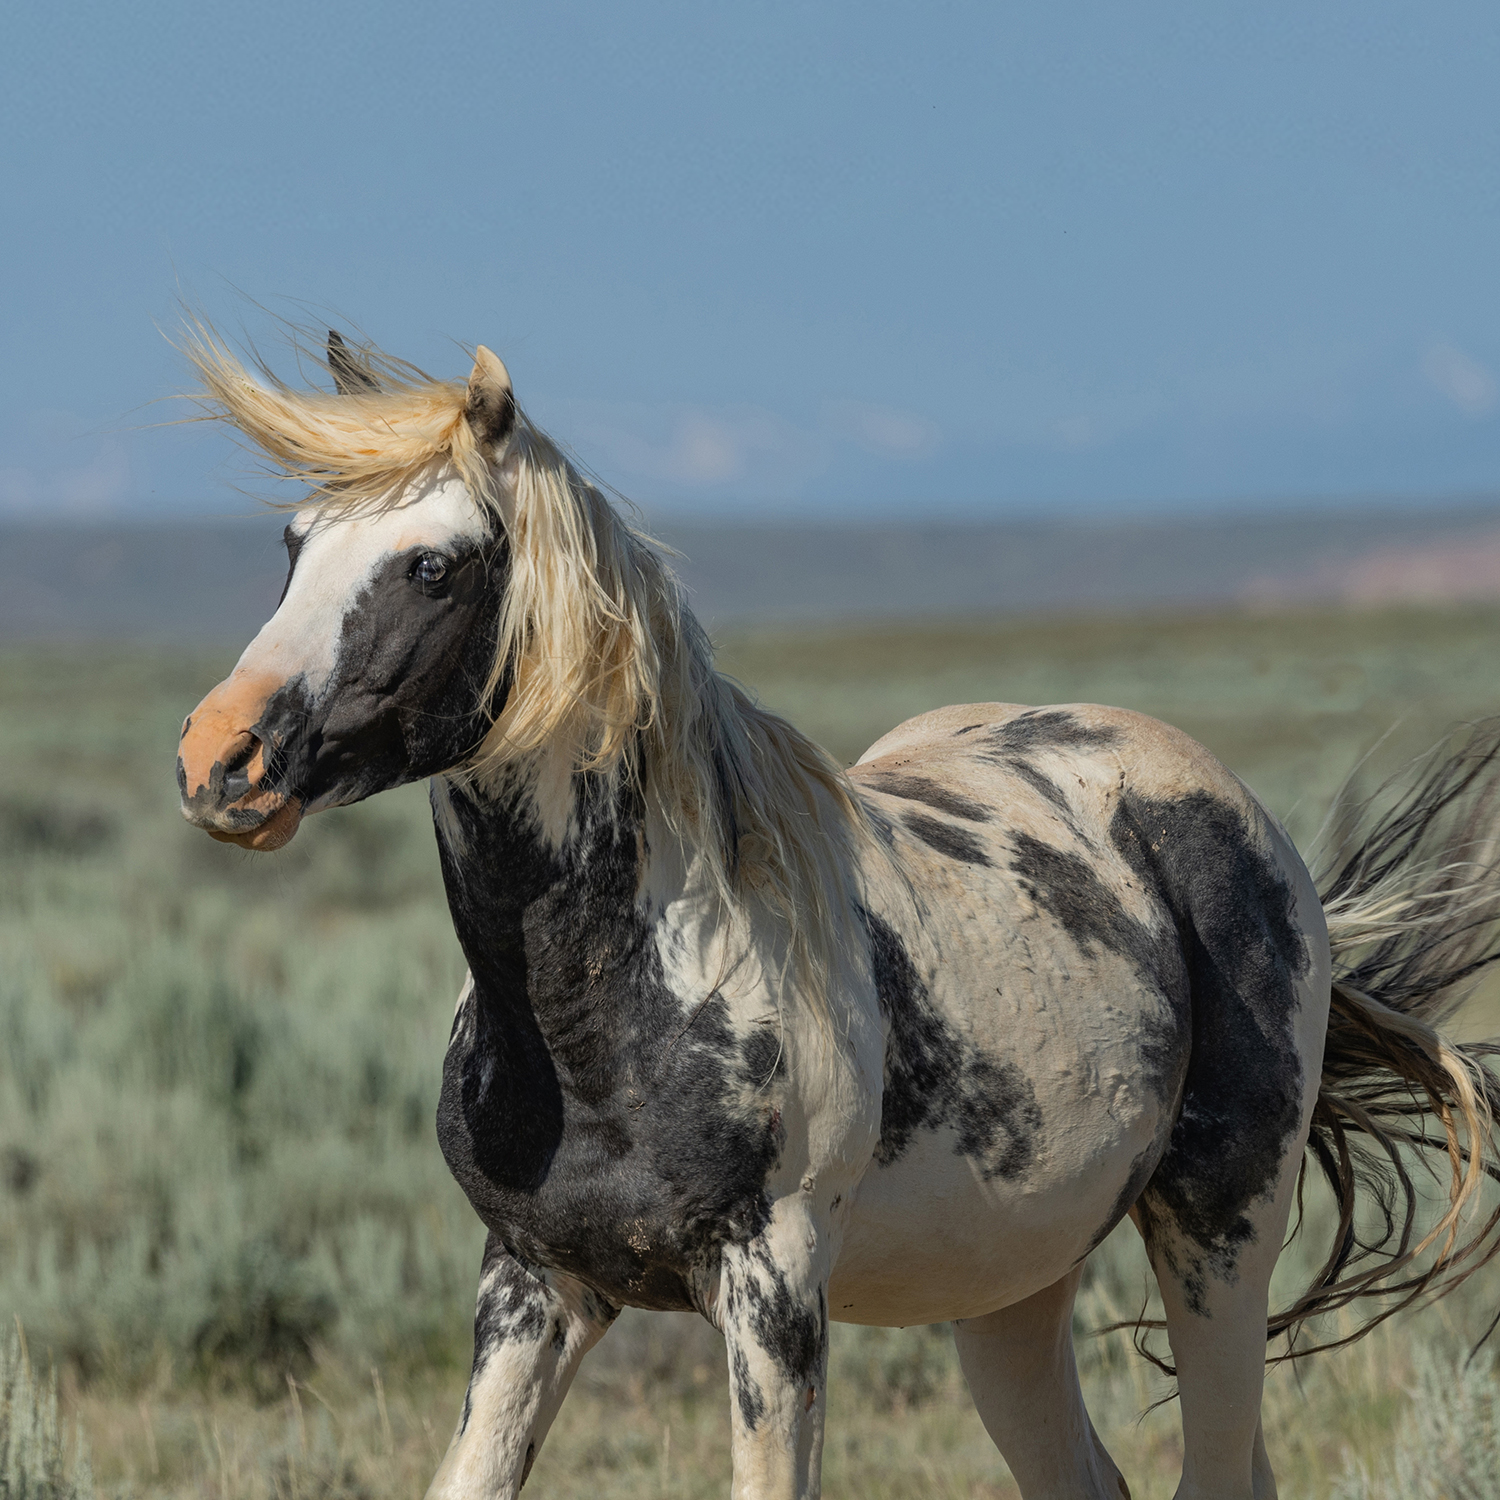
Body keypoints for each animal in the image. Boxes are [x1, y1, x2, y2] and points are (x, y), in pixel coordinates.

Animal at [170, 328, 1500, 1500]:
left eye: (432, 565)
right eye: (293, 544)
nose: (218, 761)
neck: (622, 998)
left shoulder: (772, 1290)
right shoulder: (532, 1285)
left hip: (1222, 1228)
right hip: (1010, 1287)